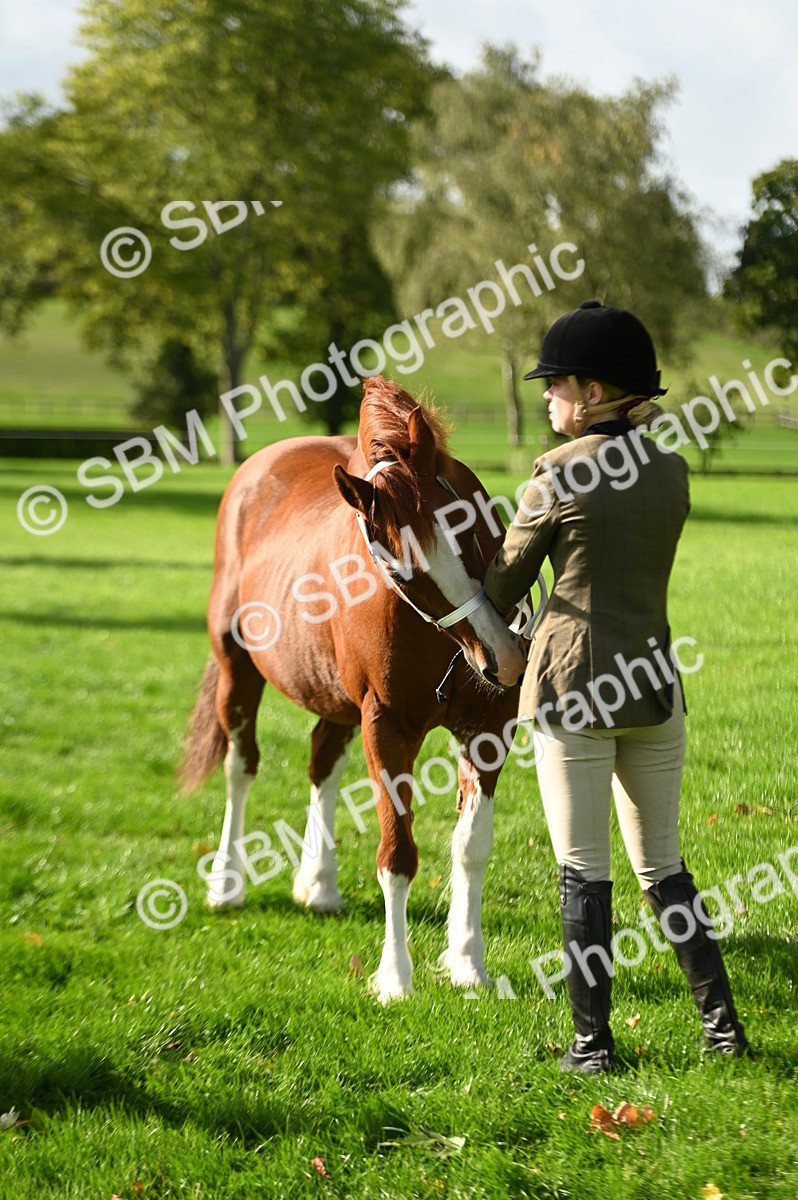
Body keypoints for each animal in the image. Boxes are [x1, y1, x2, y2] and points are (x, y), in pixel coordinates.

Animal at [181, 375, 529, 1003]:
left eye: (467, 522)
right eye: (402, 567)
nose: (503, 654)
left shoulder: (488, 728)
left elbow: (472, 846)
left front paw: (469, 964)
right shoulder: (386, 727)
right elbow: (397, 854)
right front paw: (395, 976)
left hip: (336, 701)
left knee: (322, 760)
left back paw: (318, 884)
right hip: (237, 670)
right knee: (241, 766)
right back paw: (227, 882)